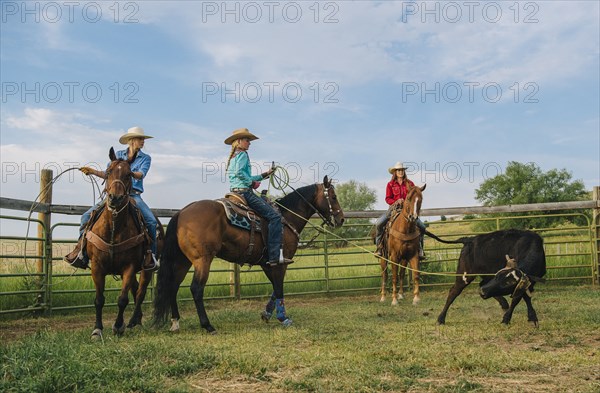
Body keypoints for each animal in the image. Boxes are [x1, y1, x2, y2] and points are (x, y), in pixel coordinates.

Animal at [85, 149, 163, 338]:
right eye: (108, 172)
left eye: (129, 175)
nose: (115, 198)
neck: (114, 226)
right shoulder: (97, 266)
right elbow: (99, 300)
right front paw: (97, 329)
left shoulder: (129, 266)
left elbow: (122, 299)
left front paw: (118, 326)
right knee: (135, 289)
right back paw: (137, 320)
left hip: (146, 269)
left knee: (140, 292)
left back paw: (134, 320)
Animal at [152, 176, 344, 332]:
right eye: (333, 197)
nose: (341, 219)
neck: (285, 218)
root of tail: (181, 213)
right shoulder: (280, 262)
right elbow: (279, 288)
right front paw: (283, 318)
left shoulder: (268, 263)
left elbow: (275, 288)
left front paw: (266, 314)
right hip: (202, 259)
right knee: (196, 289)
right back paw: (207, 325)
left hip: (182, 261)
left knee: (173, 287)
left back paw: (175, 322)